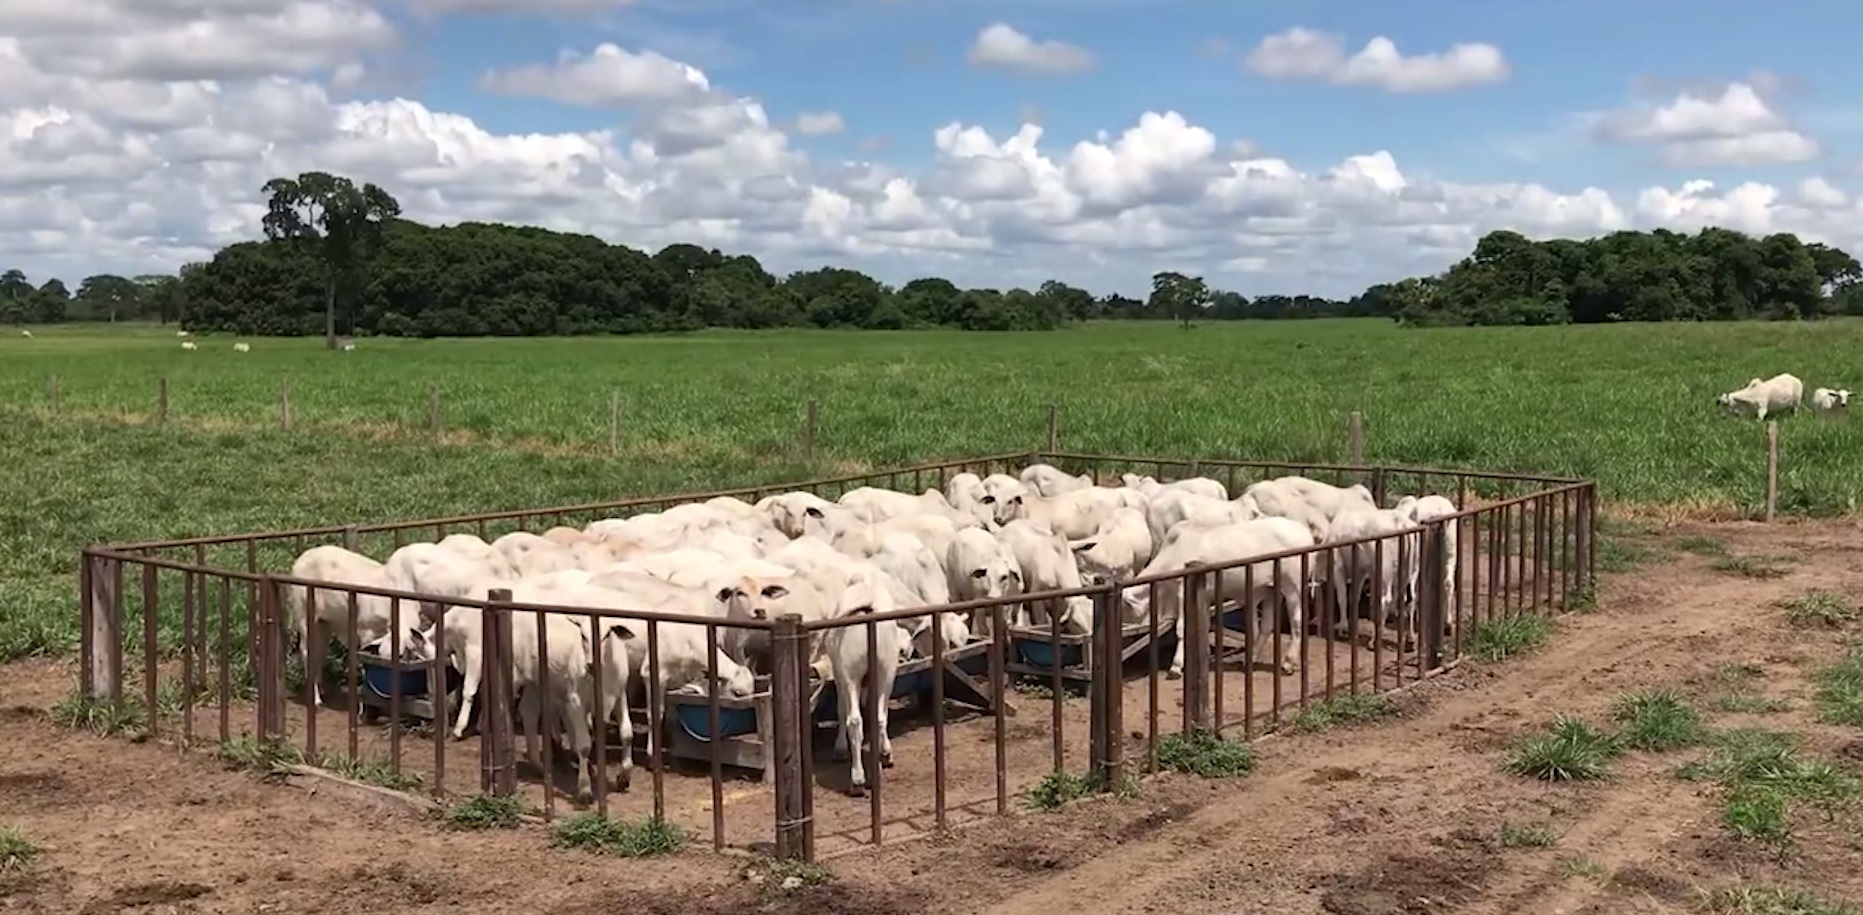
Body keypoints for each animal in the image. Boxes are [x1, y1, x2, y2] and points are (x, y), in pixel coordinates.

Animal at [1117, 518, 1311, 678]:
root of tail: (1304, 531)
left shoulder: (1182, 591)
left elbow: (1181, 628)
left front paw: (1176, 666)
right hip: (1271, 590)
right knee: (1267, 626)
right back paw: (1252, 658)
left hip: (1293, 588)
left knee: (1297, 623)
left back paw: (1288, 663)